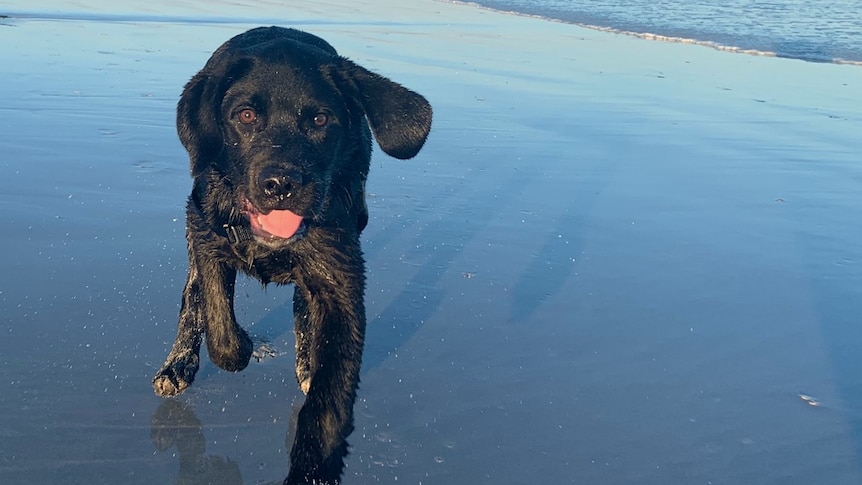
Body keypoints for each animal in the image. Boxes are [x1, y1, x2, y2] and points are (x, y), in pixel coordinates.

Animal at [154, 27, 432, 484]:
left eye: (320, 120)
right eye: (246, 115)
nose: (281, 184)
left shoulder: (340, 283)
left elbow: (329, 399)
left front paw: (313, 465)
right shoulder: (204, 229)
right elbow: (217, 318)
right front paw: (238, 347)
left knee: (303, 305)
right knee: (192, 293)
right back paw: (178, 364)